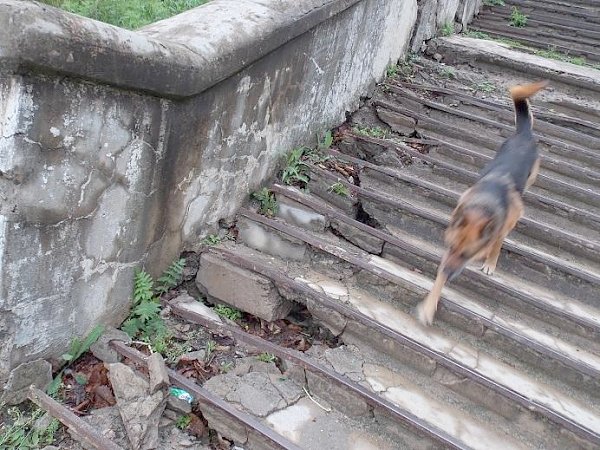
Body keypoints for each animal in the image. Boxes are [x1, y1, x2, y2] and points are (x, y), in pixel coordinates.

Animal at [418, 81, 548, 326]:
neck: (484, 204)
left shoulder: (503, 226)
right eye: (450, 247)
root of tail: (523, 133)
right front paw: (429, 306)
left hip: (531, 177)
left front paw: (489, 262)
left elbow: (495, 245)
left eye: (466, 254)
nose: (448, 272)